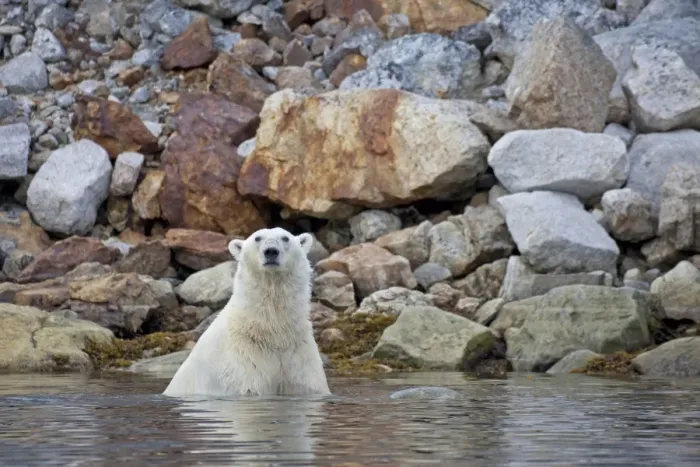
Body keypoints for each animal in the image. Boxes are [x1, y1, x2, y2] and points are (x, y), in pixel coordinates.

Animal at [163, 227, 331, 398]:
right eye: (257, 238)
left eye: (285, 238)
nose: (271, 251)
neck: (271, 333)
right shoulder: (244, 358)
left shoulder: (299, 354)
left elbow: (307, 384)